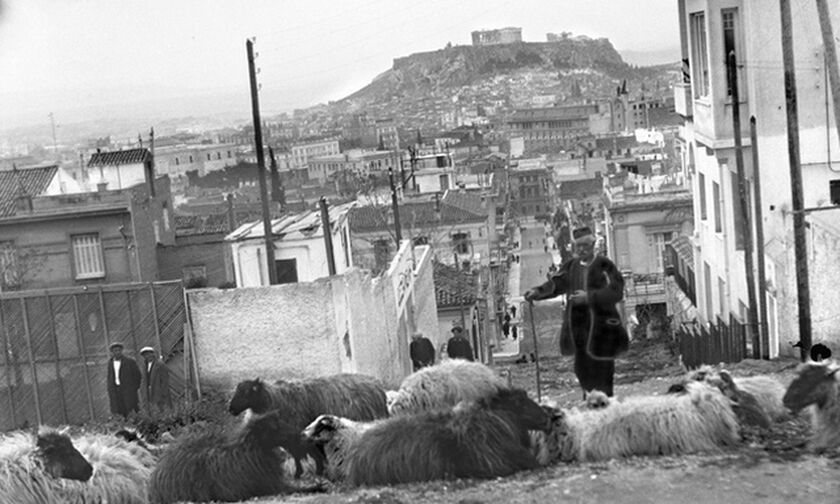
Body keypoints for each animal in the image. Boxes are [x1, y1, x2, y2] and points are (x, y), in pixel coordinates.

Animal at [149, 410, 320, 504]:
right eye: (276, 427)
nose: (301, 435)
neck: (251, 448)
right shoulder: (272, 486)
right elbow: (300, 488)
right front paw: (318, 486)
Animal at [228, 372, 388, 478]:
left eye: (247, 391)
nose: (231, 409)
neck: (274, 399)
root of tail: (377, 385)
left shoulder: (300, 437)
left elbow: (309, 456)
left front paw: (315, 473)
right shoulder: (292, 438)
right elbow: (298, 457)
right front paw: (302, 473)